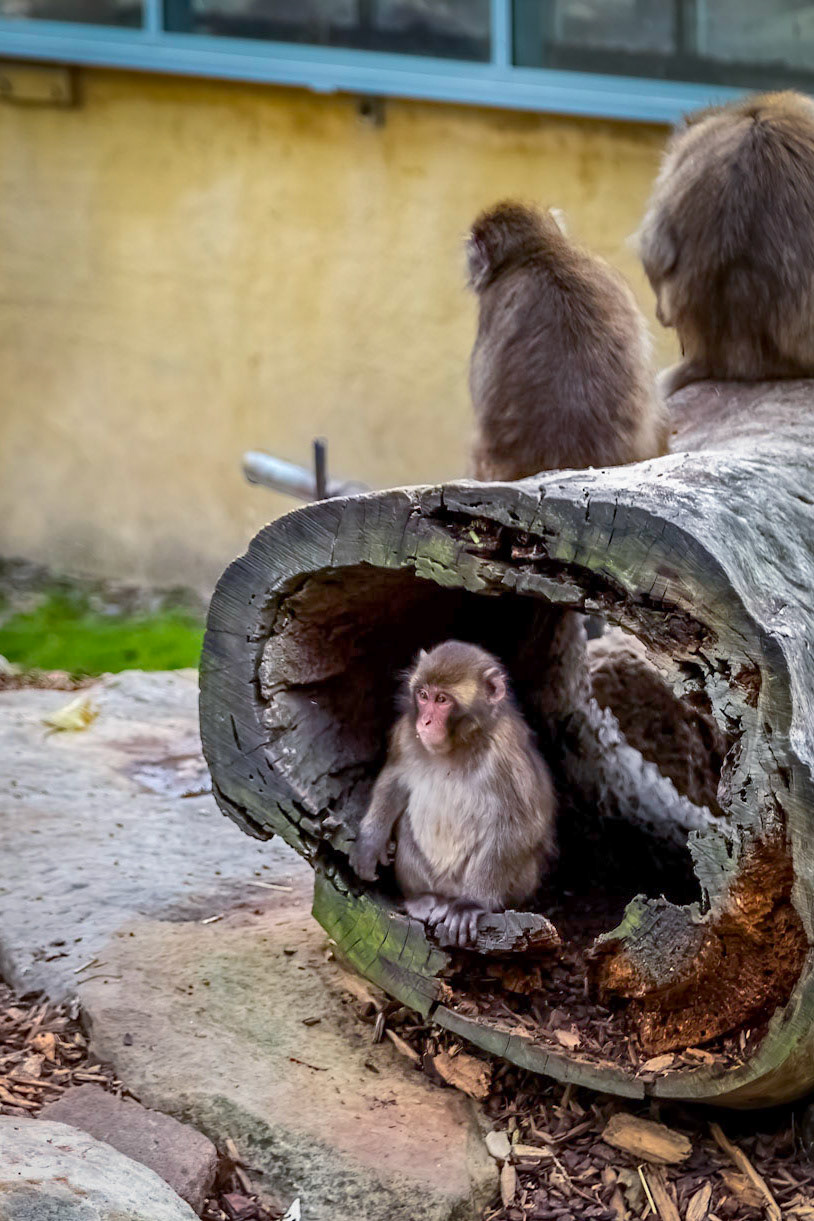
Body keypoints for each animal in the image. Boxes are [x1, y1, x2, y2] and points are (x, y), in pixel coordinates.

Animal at [348, 640, 556, 948]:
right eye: (423, 695)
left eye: (442, 700)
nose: (425, 722)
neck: (458, 744)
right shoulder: (405, 735)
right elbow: (393, 782)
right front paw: (370, 844)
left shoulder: (506, 756)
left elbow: (521, 825)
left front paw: (472, 904)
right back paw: (424, 898)